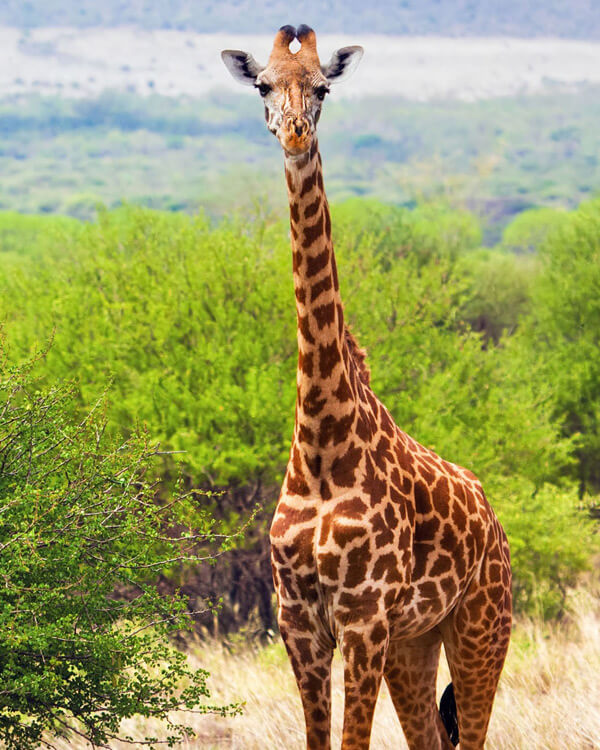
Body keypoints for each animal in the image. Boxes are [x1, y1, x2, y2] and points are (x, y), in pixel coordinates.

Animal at [223, 26, 512, 750]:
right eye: (262, 83)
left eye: (322, 87)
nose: (295, 133)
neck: (322, 438)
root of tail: (494, 520)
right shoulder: (299, 620)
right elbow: (318, 739)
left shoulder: (363, 617)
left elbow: (352, 741)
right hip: (416, 642)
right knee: (431, 737)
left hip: (481, 627)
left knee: (473, 733)